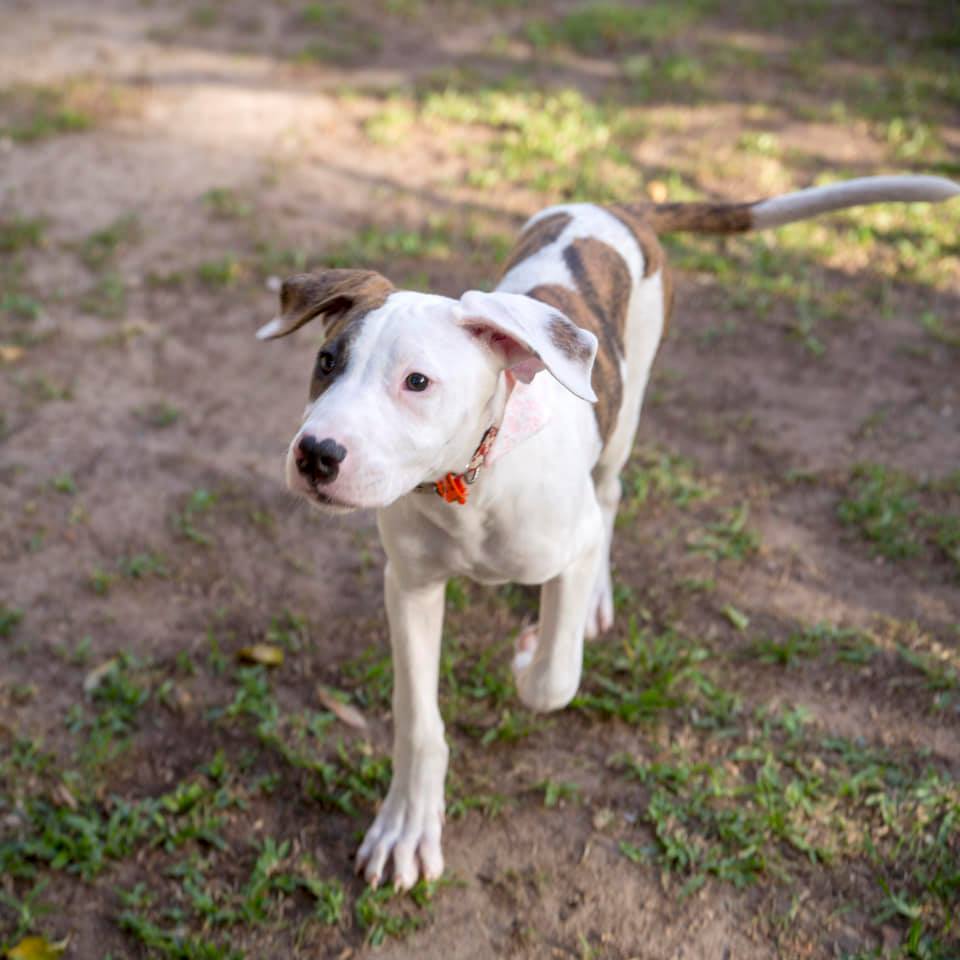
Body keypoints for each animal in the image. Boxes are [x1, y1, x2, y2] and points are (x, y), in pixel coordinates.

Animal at [257, 174, 958, 890]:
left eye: (417, 382)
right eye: (326, 361)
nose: (316, 454)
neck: (471, 481)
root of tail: (618, 206)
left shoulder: (569, 548)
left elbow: (553, 680)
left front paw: (529, 655)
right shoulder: (411, 586)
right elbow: (418, 721)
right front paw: (406, 828)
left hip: (627, 413)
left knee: (611, 494)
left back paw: (592, 597)